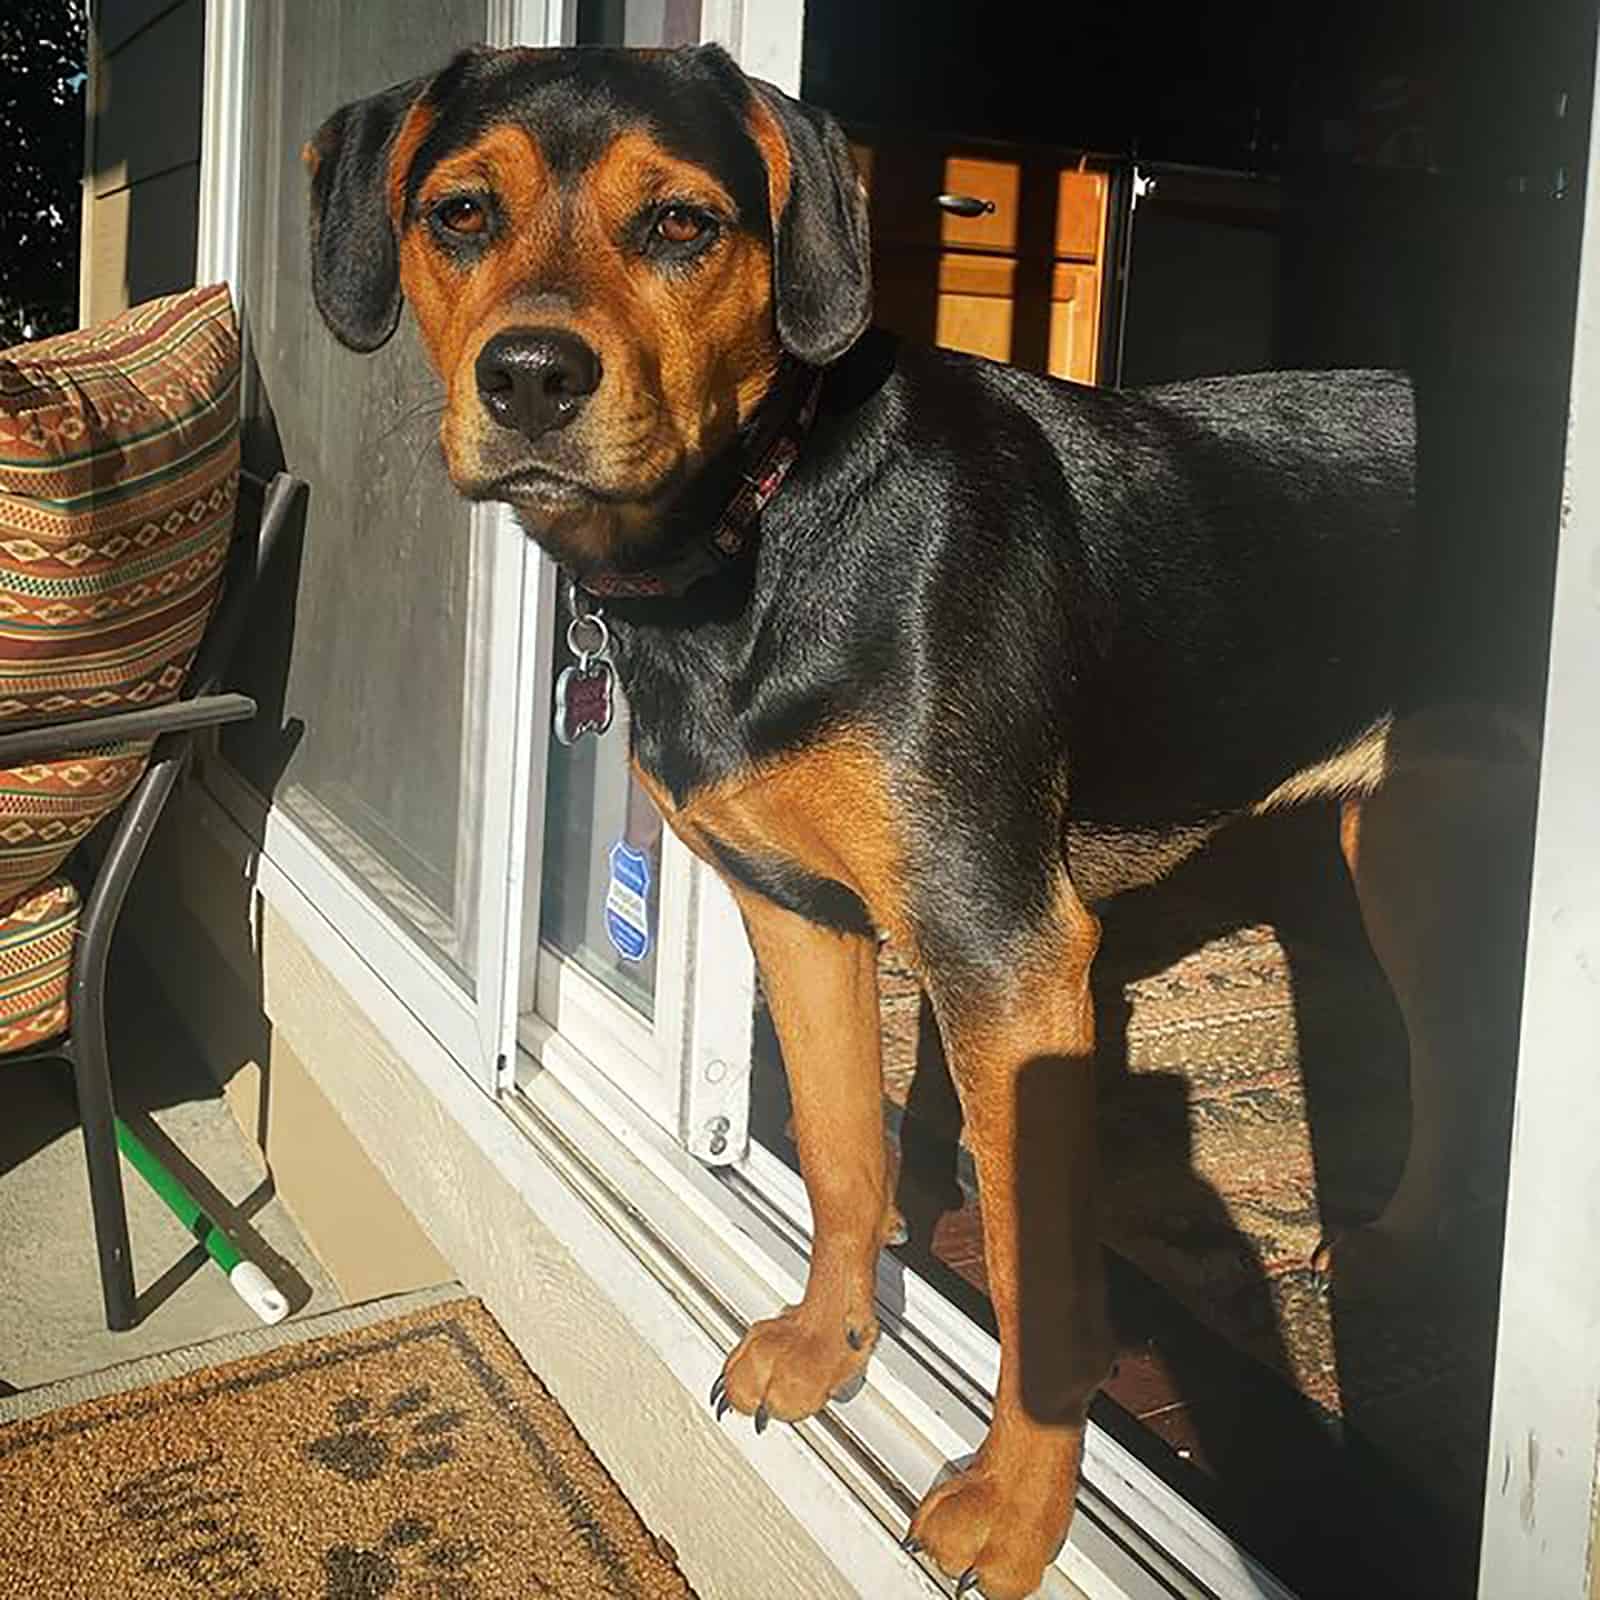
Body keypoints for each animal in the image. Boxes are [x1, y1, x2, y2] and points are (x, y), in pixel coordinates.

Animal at [305, 43, 1542, 1600]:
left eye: (683, 225)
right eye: (460, 214)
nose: (530, 376)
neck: (757, 528)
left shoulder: (1004, 950)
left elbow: (1034, 1275)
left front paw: (1016, 1513)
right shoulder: (796, 912)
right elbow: (845, 1159)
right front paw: (823, 1352)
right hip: (1411, 847)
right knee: (1460, 1052)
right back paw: (1404, 1242)